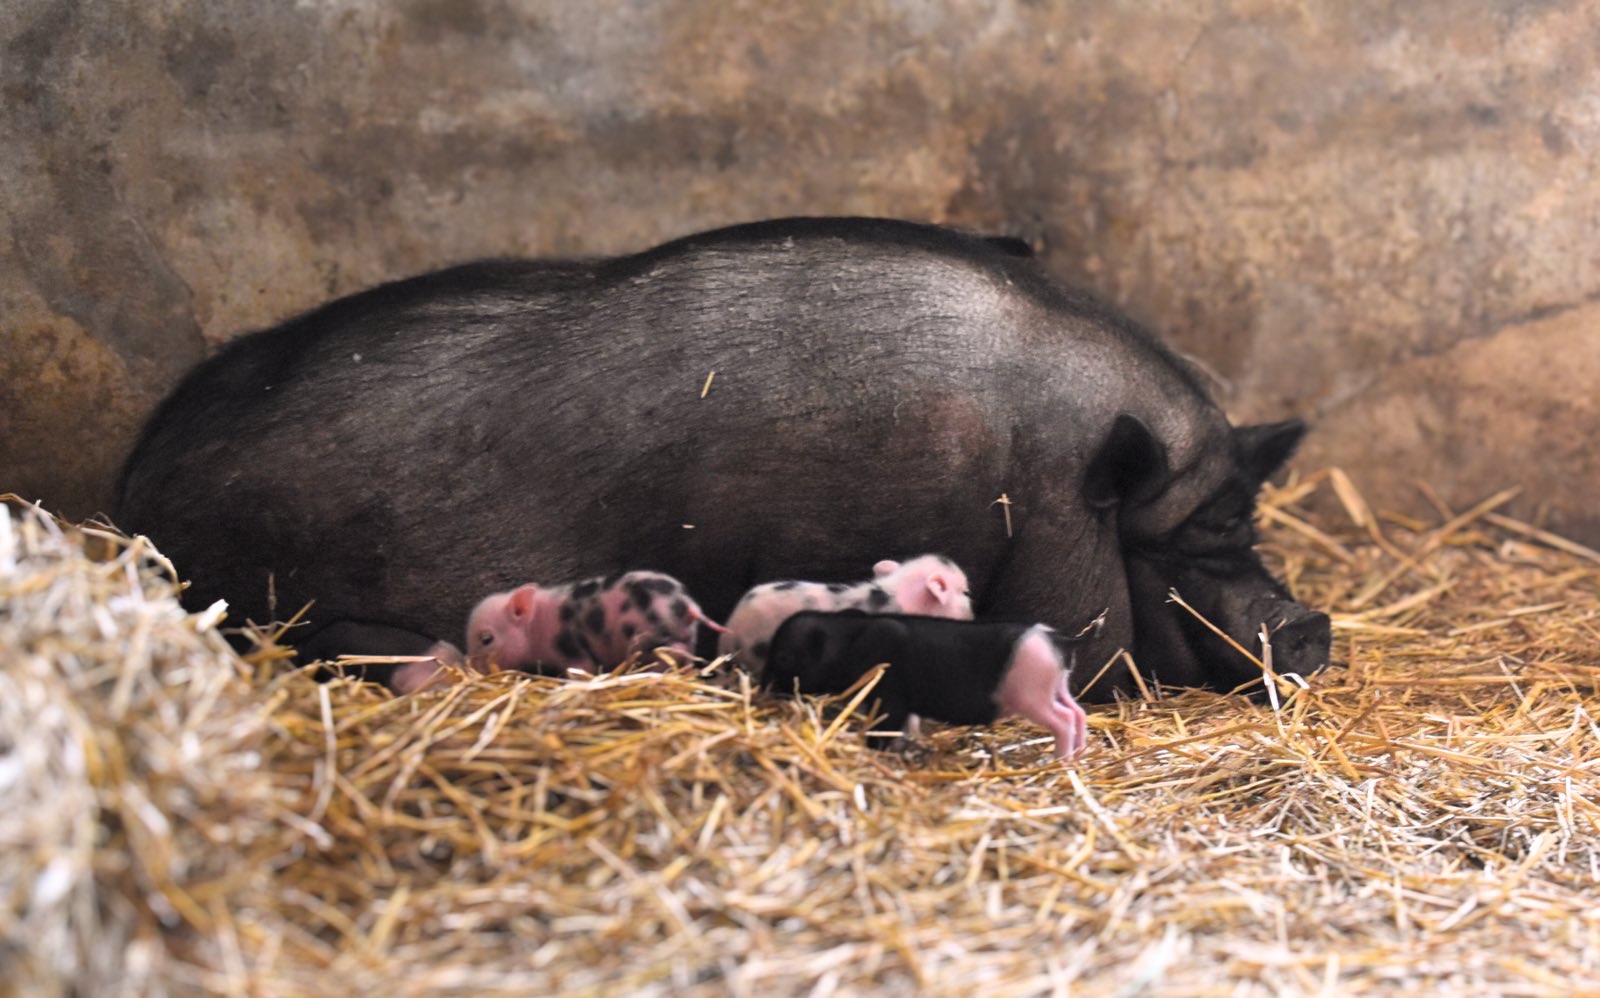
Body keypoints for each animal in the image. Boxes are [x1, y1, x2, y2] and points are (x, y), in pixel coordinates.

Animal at [765, 611, 1090, 760]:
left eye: (783, 657)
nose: (764, 685)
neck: (848, 641)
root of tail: (1060, 640)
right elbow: (909, 723)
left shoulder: (889, 693)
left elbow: (886, 723)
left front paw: (877, 750)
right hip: (1057, 686)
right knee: (1077, 713)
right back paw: (1079, 752)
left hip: (1033, 694)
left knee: (1062, 720)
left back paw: (1060, 760)